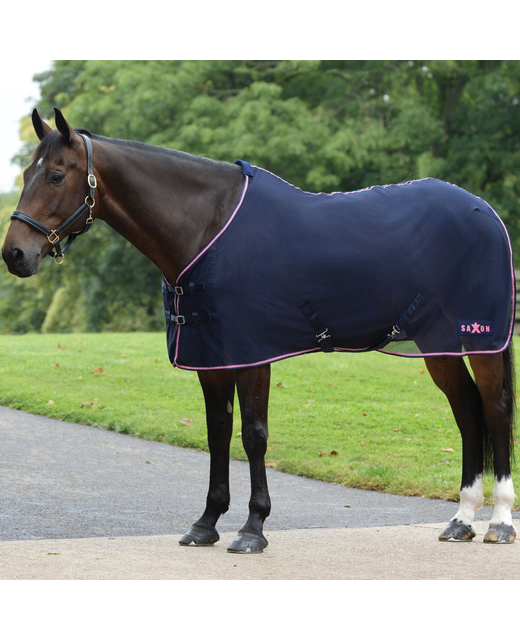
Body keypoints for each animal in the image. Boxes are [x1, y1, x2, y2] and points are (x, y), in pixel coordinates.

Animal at [2, 107, 517, 553]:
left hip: (483, 338)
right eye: (26, 173)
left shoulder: (252, 354)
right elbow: (217, 431)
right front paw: (206, 523)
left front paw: (253, 528)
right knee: (467, 411)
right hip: (437, 343)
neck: (207, 228)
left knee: (494, 409)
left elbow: (253, 435)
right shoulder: (211, 356)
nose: (14, 254)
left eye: (55, 175)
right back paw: (461, 520)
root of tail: (484, 211)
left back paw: (500, 522)